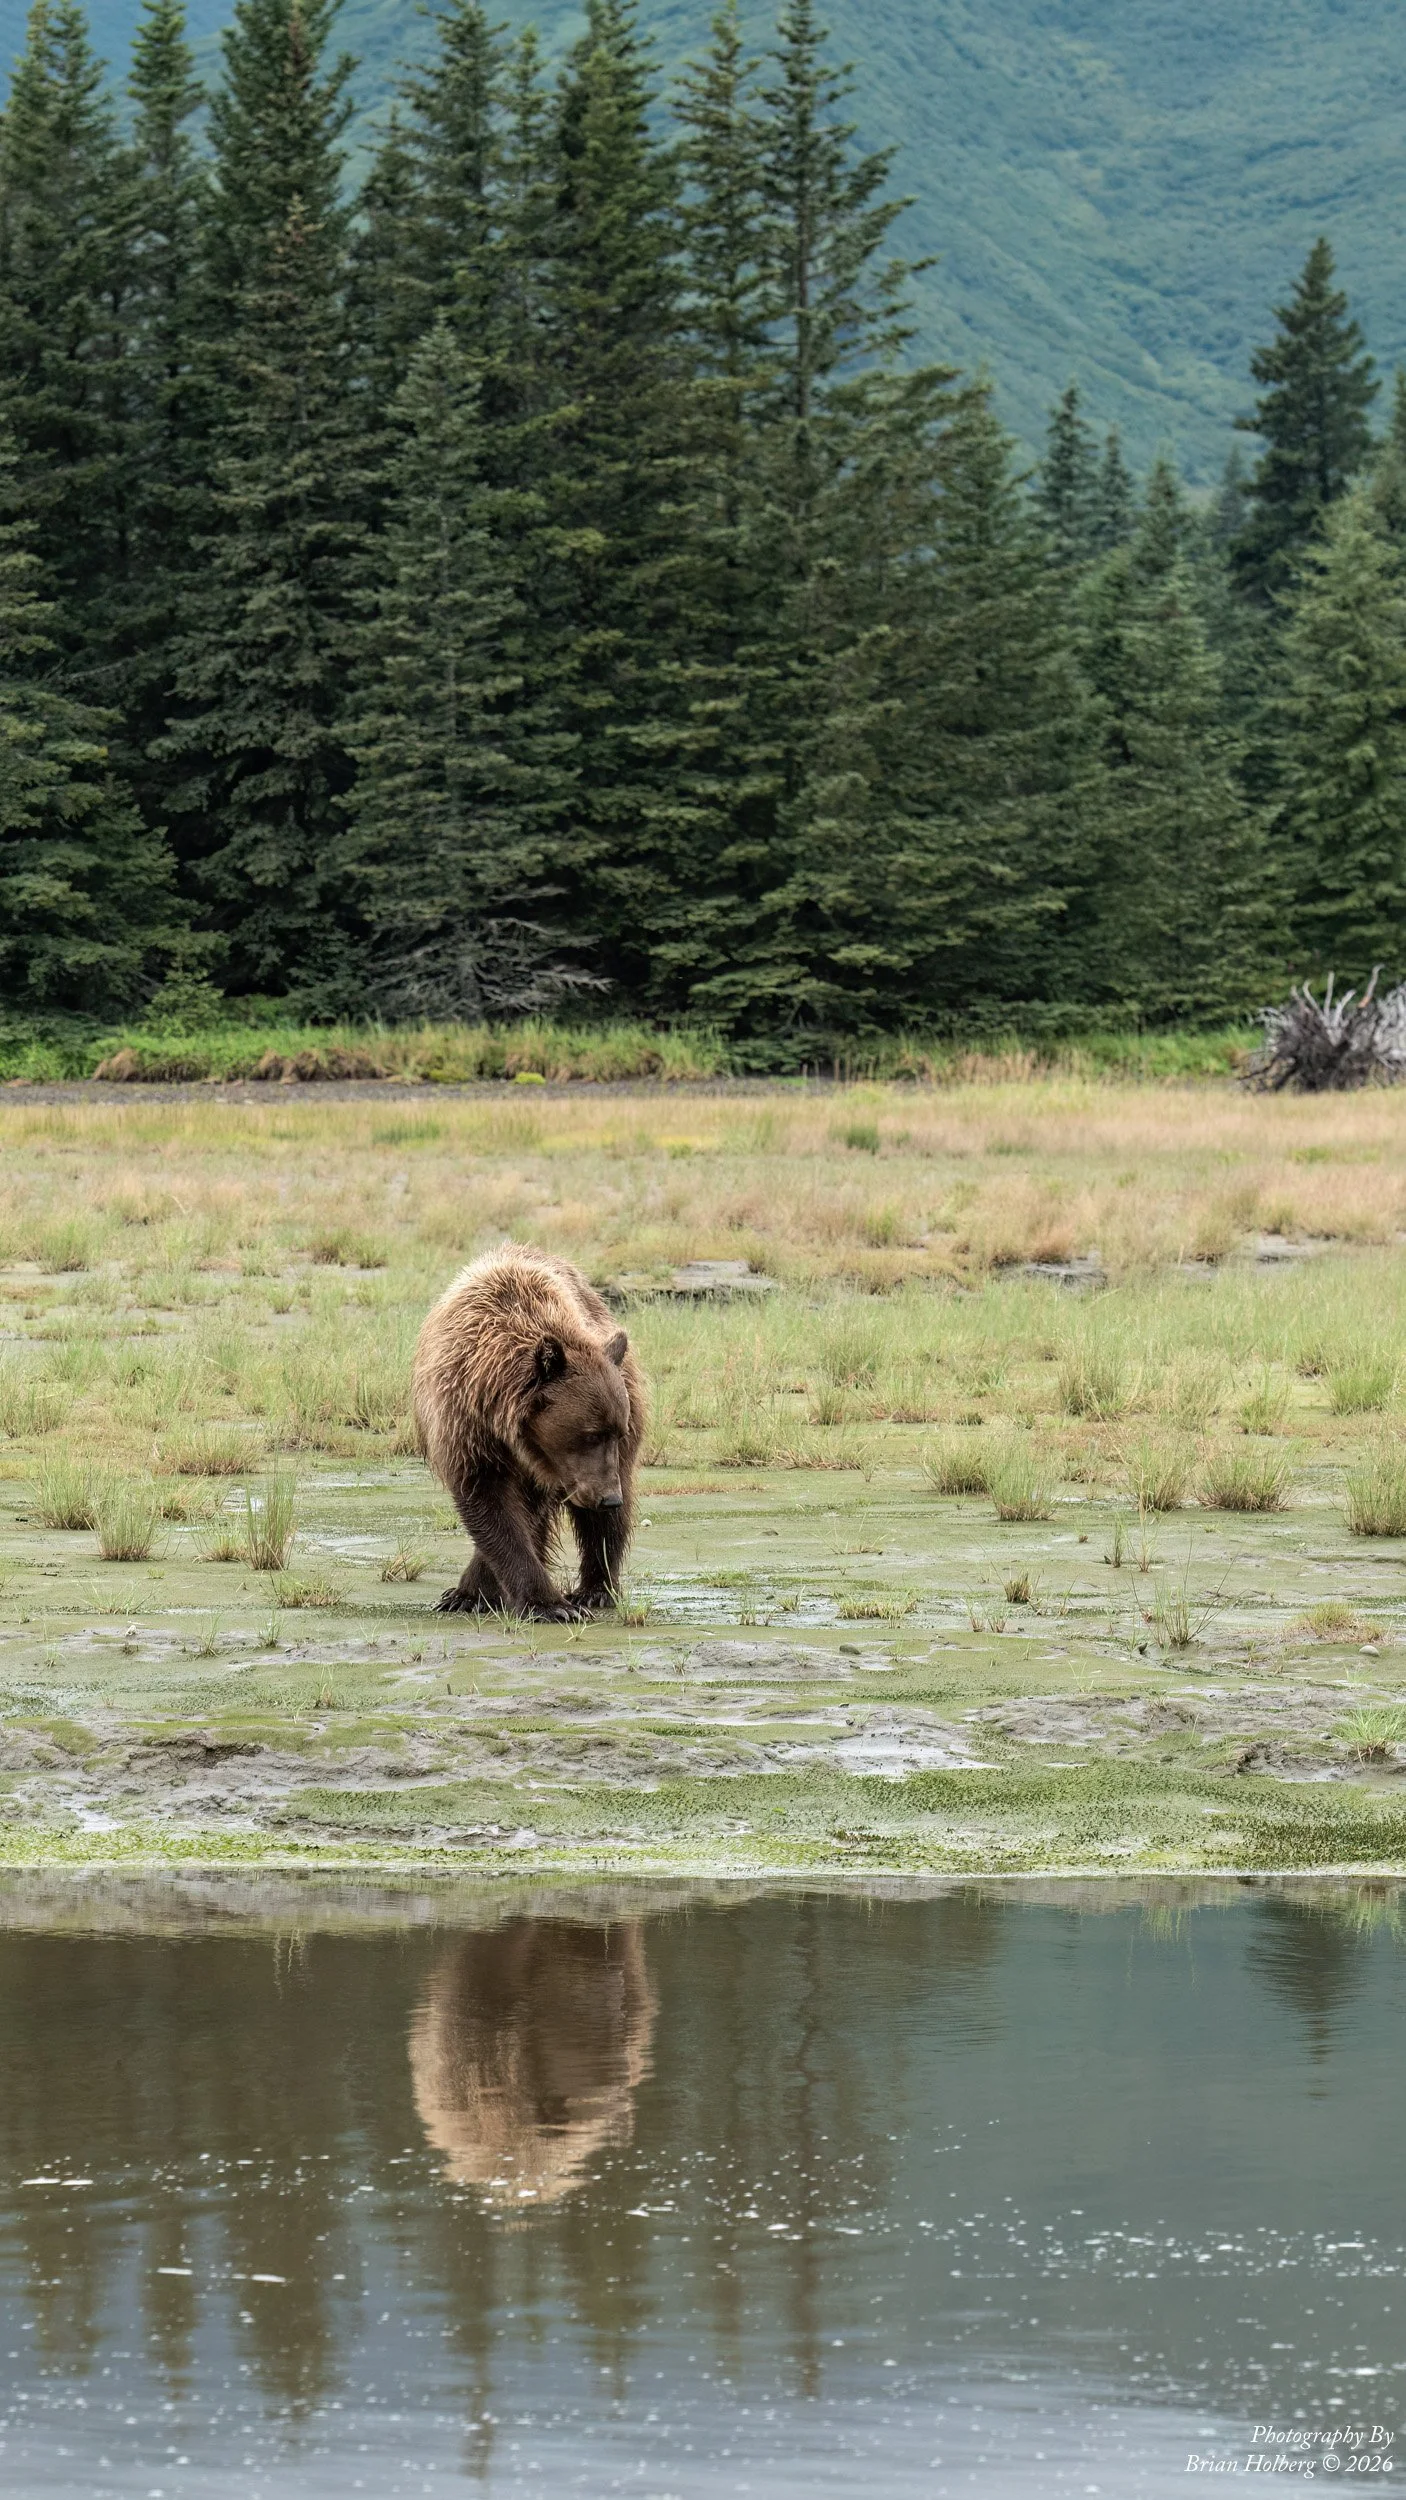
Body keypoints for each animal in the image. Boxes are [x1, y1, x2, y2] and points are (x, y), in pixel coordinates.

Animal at [413, 1244, 645, 1621]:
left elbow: (525, 1511)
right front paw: (474, 1596)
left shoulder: (555, 1466)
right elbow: (490, 1503)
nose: (609, 1498)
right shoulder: (464, 1423)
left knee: (604, 1523)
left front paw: (549, 1603)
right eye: (591, 1434)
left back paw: (595, 1590)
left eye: (615, 1432)